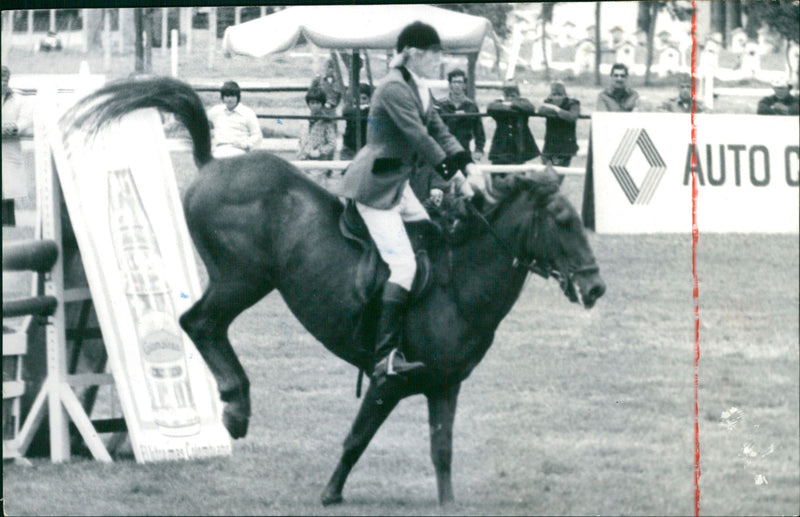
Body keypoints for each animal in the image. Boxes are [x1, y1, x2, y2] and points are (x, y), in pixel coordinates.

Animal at [62, 76, 608, 504]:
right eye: (563, 222)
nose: (596, 287)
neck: (457, 284)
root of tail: (211, 162)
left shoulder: (444, 385)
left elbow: (442, 452)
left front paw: (447, 503)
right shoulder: (387, 383)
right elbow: (356, 438)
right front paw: (330, 493)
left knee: (202, 325)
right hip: (243, 279)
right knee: (198, 323)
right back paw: (236, 405)